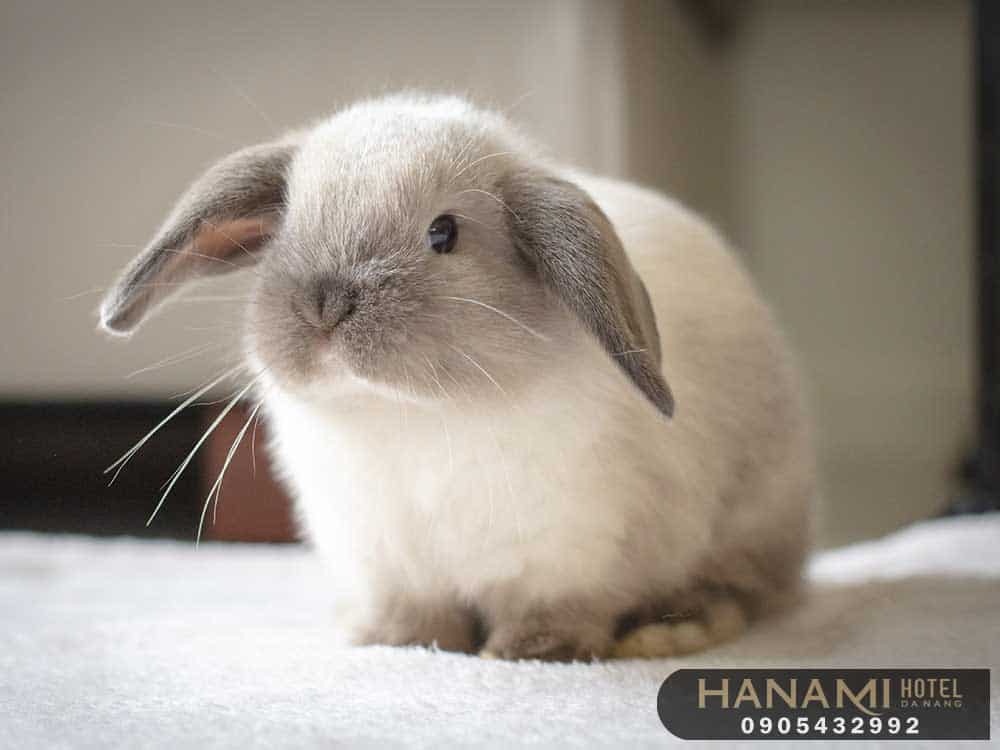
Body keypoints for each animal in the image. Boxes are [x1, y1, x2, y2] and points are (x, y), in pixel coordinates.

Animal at [99, 93, 815, 661]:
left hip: (748, 522)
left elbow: (555, 611)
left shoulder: (565, 555)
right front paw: (401, 644)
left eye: (444, 234)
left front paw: (528, 653)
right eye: (286, 229)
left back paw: (667, 632)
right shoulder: (390, 562)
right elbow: (417, 616)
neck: (407, 414)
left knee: (742, 591)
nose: (324, 305)